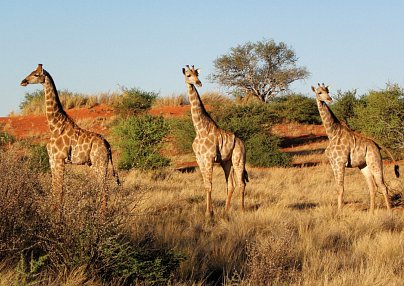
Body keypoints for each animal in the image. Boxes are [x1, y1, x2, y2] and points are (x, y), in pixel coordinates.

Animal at [21, 63, 120, 213]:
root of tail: (108, 145)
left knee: (105, 190)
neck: (54, 126)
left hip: (100, 163)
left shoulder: (60, 159)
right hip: (94, 164)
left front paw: (59, 217)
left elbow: (60, 191)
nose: (23, 82)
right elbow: (54, 190)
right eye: (31, 72)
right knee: (101, 190)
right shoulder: (52, 160)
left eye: (36, 74)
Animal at [181, 65, 248, 217]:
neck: (200, 129)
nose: (198, 83)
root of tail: (242, 143)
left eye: (197, 74)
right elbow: (206, 185)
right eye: (188, 75)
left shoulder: (209, 158)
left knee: (241, 183)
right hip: (226, 162)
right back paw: (225, 211)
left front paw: (208, 213)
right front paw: (210, 211)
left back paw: (242, 210)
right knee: (231, 185)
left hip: (238, 159)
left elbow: (209, 185)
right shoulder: (199, 159)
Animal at [310, 82, 400, 212]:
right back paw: (370, 213)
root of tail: (377, 145)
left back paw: (389, 213)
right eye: (319, 92)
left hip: (375, 162)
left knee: (383, 186)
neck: (332, 133)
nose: (329, 99)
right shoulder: (333, 164)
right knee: (373, 187)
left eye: (328, 91)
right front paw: (338, 211)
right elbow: (337, 188)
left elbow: (341, 189)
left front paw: (339, 212)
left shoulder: (340, 163)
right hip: (364, 166)